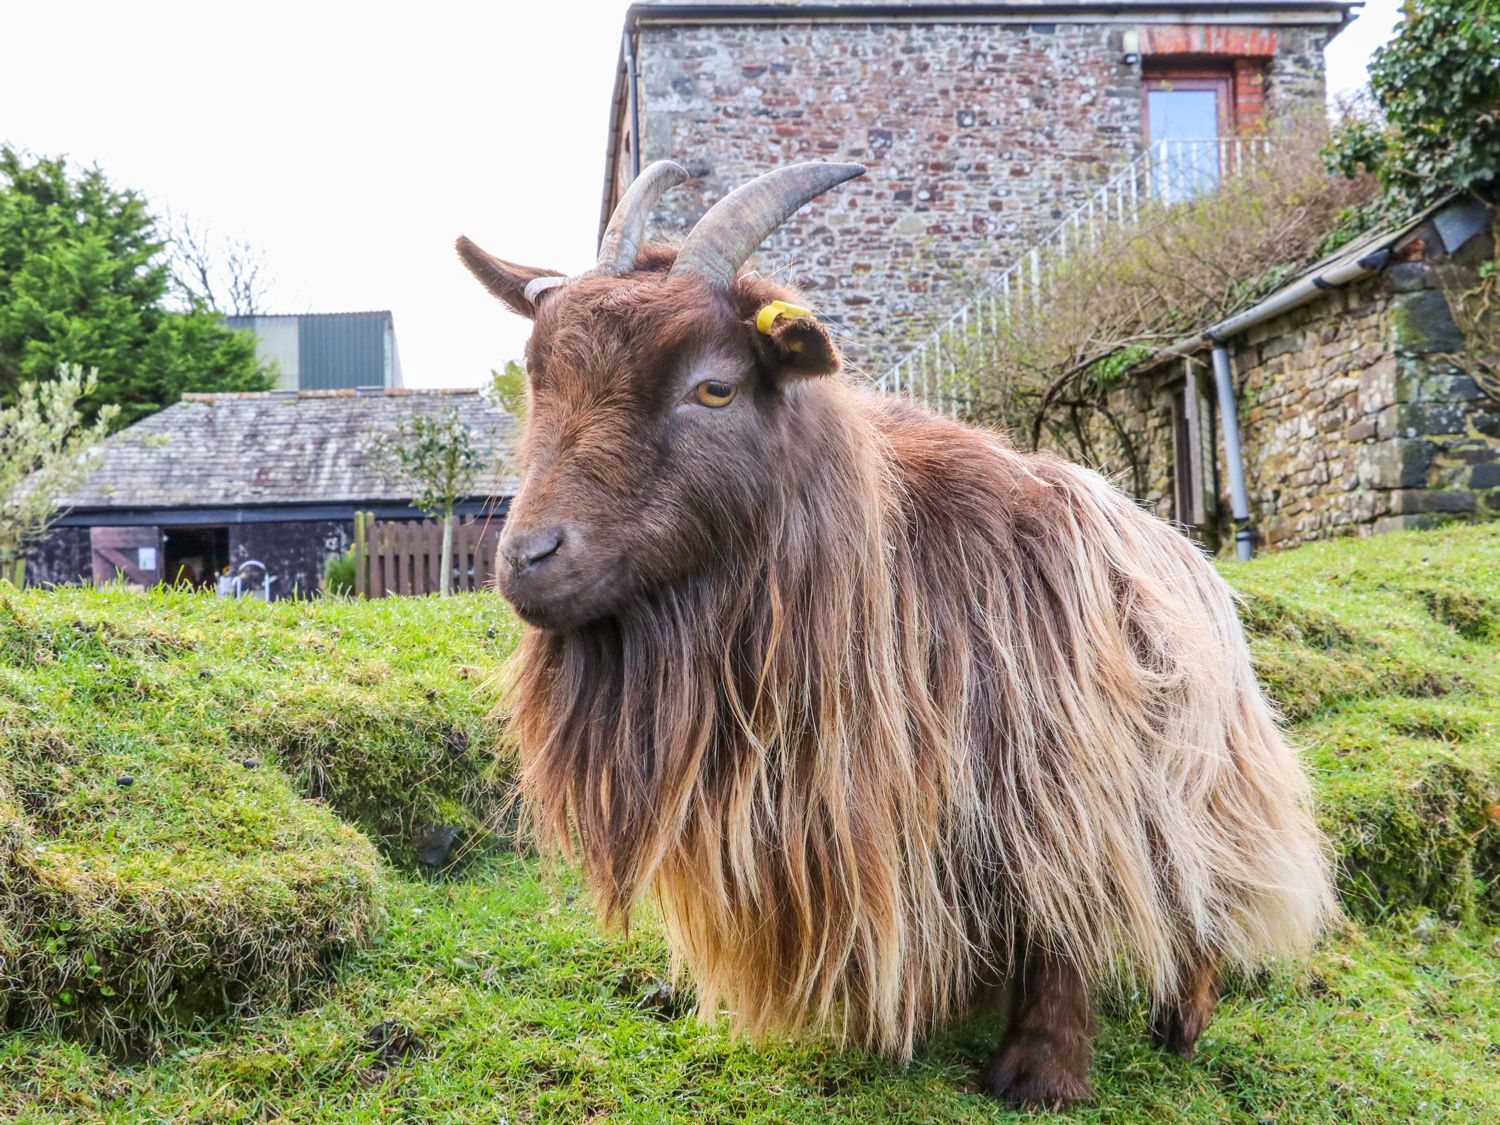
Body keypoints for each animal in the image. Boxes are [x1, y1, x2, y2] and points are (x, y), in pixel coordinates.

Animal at [456, 160, 1338, 1110]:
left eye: (714, 385)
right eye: (540, 379)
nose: (529, 558)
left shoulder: (1058, 774)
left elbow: (1062, 915)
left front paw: (1041, 1072)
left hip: (1203, 775)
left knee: (1200, 887)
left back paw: (1182, 1016)